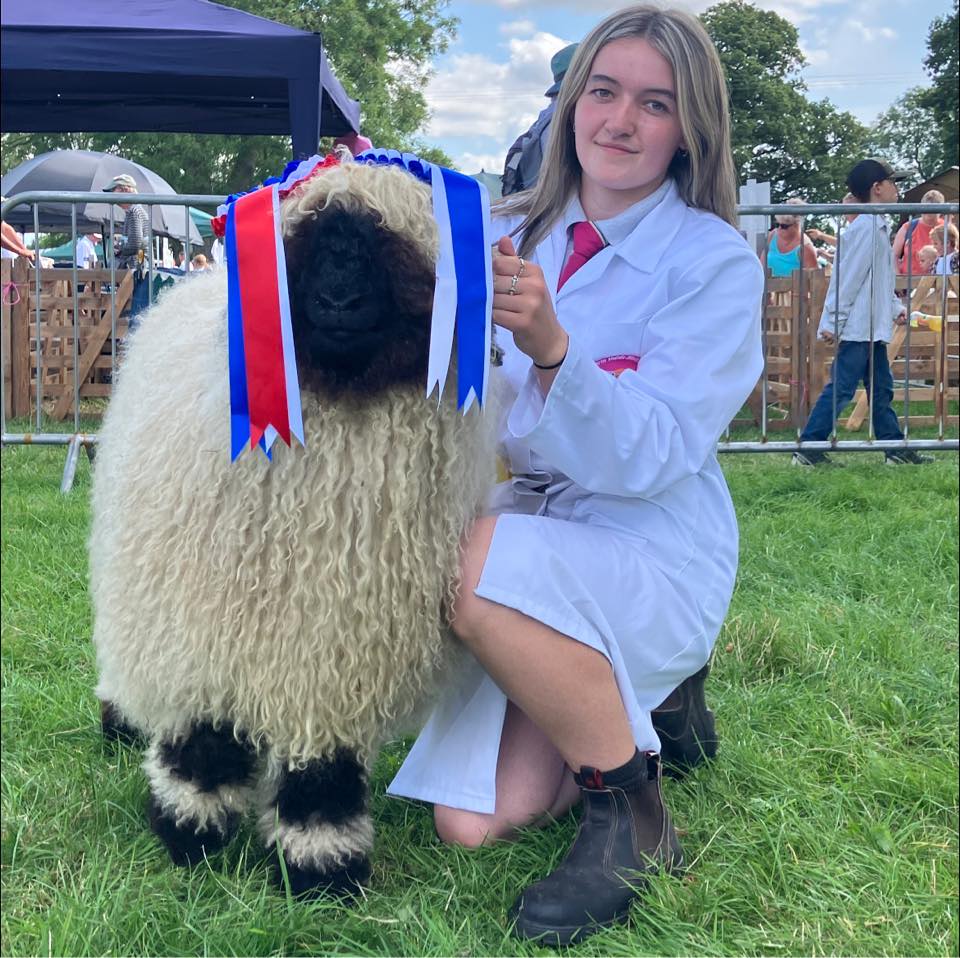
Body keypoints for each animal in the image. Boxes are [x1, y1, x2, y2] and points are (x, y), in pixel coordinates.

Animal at [90, 158, 499, 897]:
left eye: (386, 252)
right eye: (305, 253)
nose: (338, 302)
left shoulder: (337, 643)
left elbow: (324, 762)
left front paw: (320, 861)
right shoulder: (204, 620)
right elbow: (204, 736)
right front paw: (189, 829)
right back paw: (122, 720)